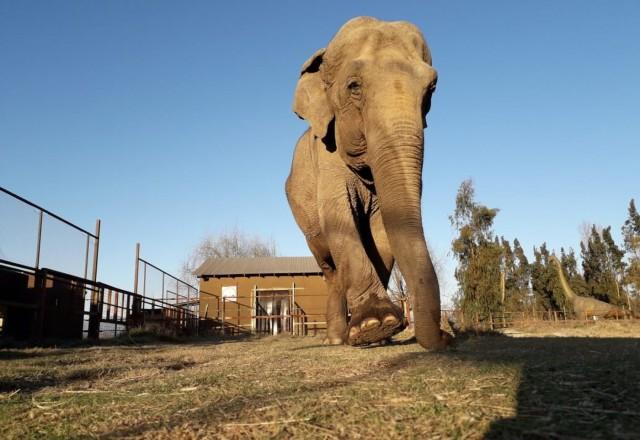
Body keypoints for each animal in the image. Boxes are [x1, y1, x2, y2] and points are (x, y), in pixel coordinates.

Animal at [285, 17, 451, 349]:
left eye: (432, 88)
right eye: (354, 86)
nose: (447, 337)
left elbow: (381, 228)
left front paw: (381, 332)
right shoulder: (326, 158)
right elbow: (339, 217)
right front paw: (375, 325)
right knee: (329, 266)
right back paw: (336, 340)